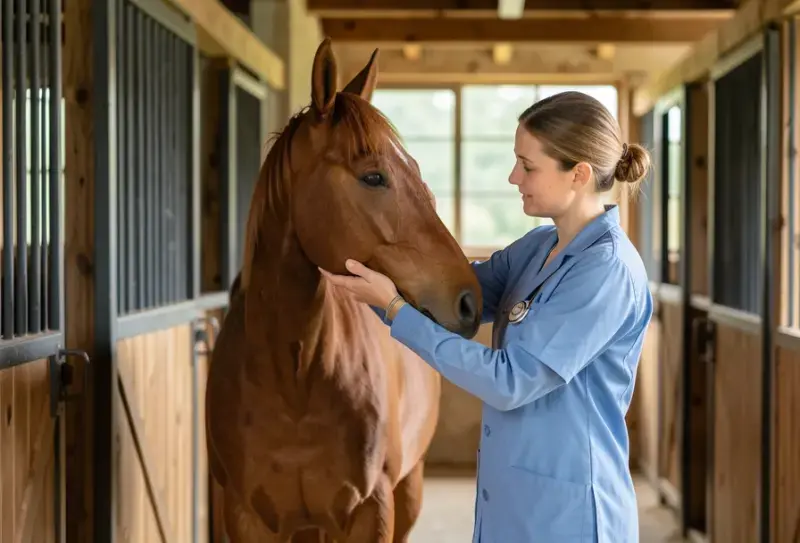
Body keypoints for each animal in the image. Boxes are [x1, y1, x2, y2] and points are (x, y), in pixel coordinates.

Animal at [205, 38, 483, 542]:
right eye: (373, 176)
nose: (470, 300)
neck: (293, 378)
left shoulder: (372, 510)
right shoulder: (247, 515)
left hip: (408, 490)